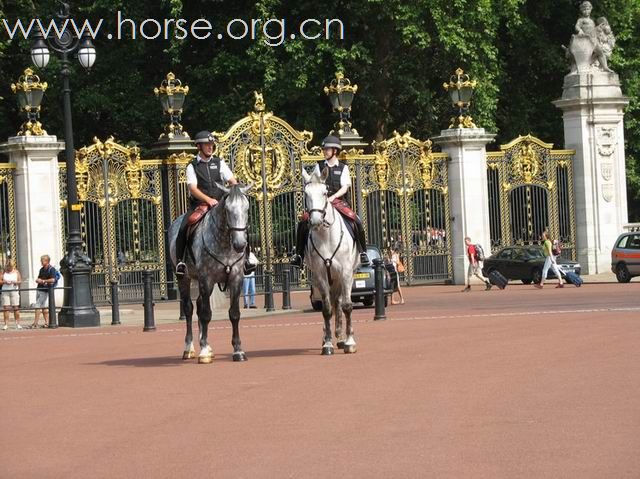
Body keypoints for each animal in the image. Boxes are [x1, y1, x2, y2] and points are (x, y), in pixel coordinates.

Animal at [169, 185, 251, 364]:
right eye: (227, 210)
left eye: (247, 209)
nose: (240, 244)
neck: (224, 243)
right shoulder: (206, 278)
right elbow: (206, 314)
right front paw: (204, 351)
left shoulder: (236, 279)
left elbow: (234, 314)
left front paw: (238, 350)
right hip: (184, 278)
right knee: (189, 309)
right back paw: (190, 348)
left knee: (200, 305)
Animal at [302, 170, 358, 356]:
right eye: (306, 194)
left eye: (325, 193)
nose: (315, 221)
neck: (326, 236)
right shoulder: (320, 275)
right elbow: (326, 309)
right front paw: (327, 344)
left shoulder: (345, 273)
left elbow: (347, 306)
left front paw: (350, 342)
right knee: (333, 304)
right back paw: (332, 337)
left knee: (339, 303)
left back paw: (342, 338)